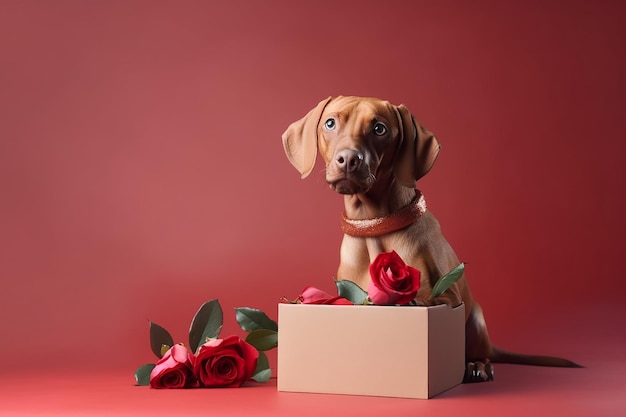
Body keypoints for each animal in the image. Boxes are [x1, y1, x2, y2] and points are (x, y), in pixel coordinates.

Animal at [282, 95, 580, 380]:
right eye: (330, 123)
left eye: (379, 129)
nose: (348, 159)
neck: (373, 226)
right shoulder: (347, 298)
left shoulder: (448, 297)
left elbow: (428, 299)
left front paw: (411, 302)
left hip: (476, 317)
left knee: (479, 354)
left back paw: (477, 365)